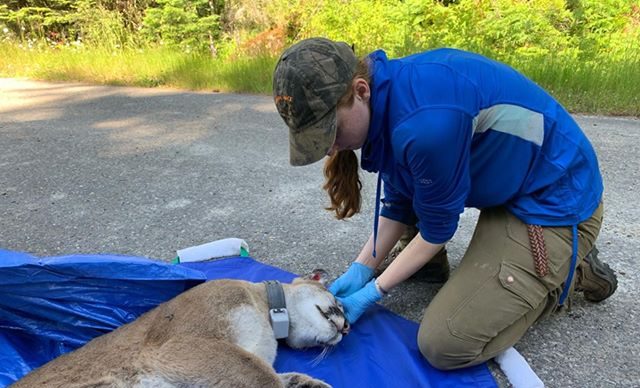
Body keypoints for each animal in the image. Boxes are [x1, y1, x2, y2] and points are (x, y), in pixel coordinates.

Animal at [12, 270, 348, 388]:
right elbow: (264, 377)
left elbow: (274, 374)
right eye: (338, 303)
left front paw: (309, 384)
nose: (347, 328)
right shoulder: (181, 346)